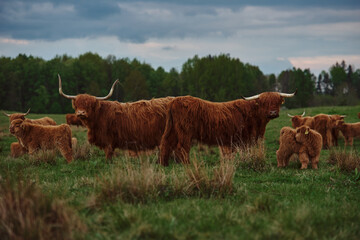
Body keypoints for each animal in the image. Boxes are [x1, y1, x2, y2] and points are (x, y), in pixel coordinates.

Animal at [160, 91, 296, 166]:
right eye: (264, 103)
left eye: (277, 101)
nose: (273, 112)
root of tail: (174, 101)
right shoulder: (245, 138)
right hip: (185, 132)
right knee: (182, 147)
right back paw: (186, 164)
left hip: (172, 130)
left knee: (166, 143)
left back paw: (164, 164)